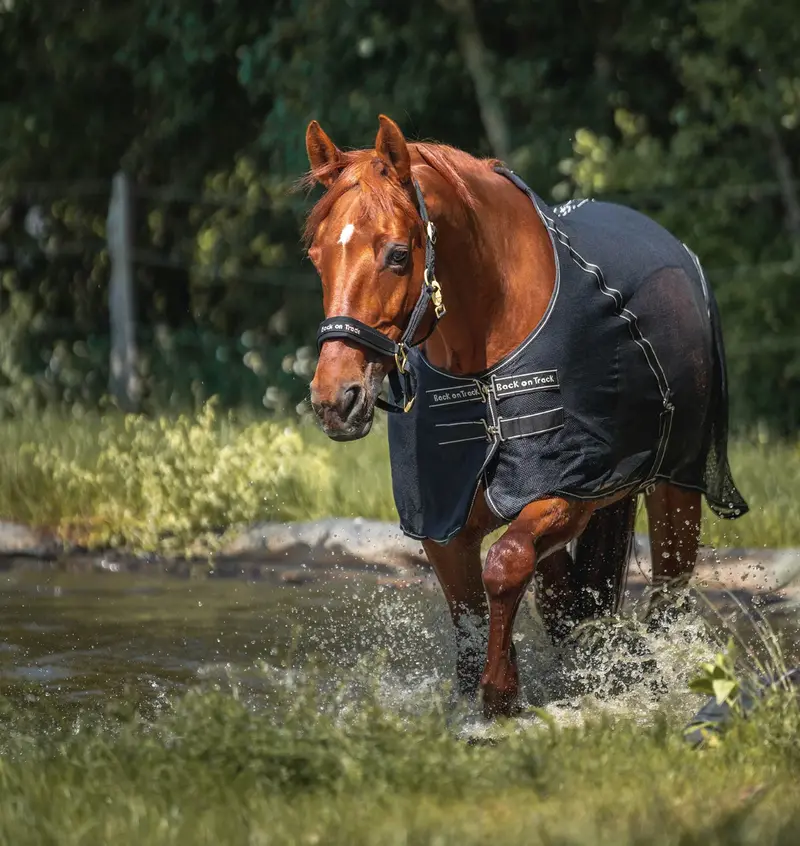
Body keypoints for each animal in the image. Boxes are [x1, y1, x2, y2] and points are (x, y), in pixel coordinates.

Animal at [303, 115, 748, 718]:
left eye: (397, 254)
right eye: (317, 256)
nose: (335, 399)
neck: (488, 359)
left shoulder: (566, 492)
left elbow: (506, 563)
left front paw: (501, 695)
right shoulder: (442, 524)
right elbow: (473, 613)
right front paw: (477, 697)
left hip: (677, 488)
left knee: (666, 596)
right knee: (565, 600)